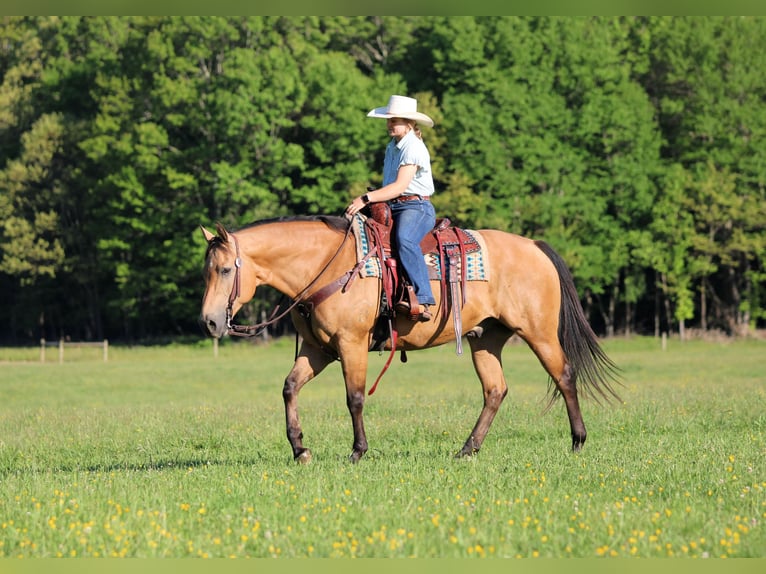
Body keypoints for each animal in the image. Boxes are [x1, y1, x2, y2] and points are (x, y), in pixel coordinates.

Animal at [199, 215, 620, 464]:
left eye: (225, 270)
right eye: (207, 271)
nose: (210, 322)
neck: (327, 266)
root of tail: (534, 246)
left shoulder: (351, 344)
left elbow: (354, 397)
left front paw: (357, 452)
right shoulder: (319, 350)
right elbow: (289, 388)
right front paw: (300, 448)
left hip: (539, 332)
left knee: (564, 375)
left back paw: (578, 441)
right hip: (486, 338)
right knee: (495, 390)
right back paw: (467, 449)